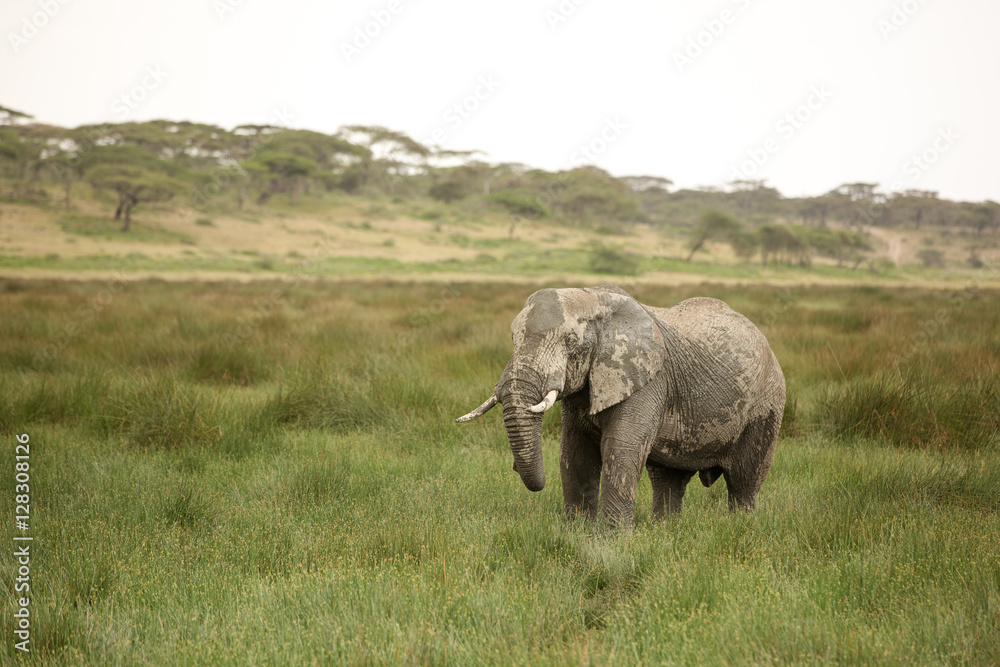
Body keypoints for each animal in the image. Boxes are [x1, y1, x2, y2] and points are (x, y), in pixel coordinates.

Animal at [457, 284, 785, 529]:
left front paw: (612, 542)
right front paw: (578, 534)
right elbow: (575, 454)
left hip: (767, 403)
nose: (515, 468)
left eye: (572, 342)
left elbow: (620, 449)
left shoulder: (648, 380)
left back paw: (740, 529)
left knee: (744, 481)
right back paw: (665, 531)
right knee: (668, 480)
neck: (593, 298)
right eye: (513, 338)